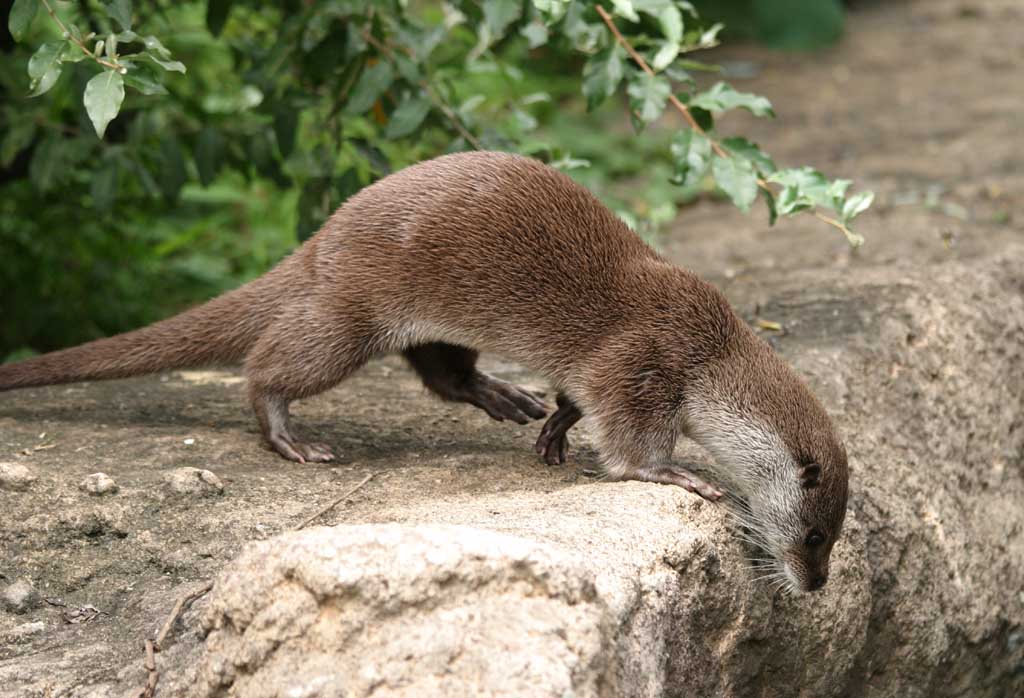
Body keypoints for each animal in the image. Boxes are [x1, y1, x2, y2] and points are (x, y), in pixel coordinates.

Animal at [0, 152, 847, 593]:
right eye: (812, 534)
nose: (815, 584)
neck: (713, 351)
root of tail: (323, 238)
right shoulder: (642, 359)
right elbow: (630, 440)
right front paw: (682, 476)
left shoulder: (619, 366)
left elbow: (577, 399)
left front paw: (553, 430)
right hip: (349, 315)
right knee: (270, 364)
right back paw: (291, 436)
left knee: (439, 371)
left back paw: (503, 395)